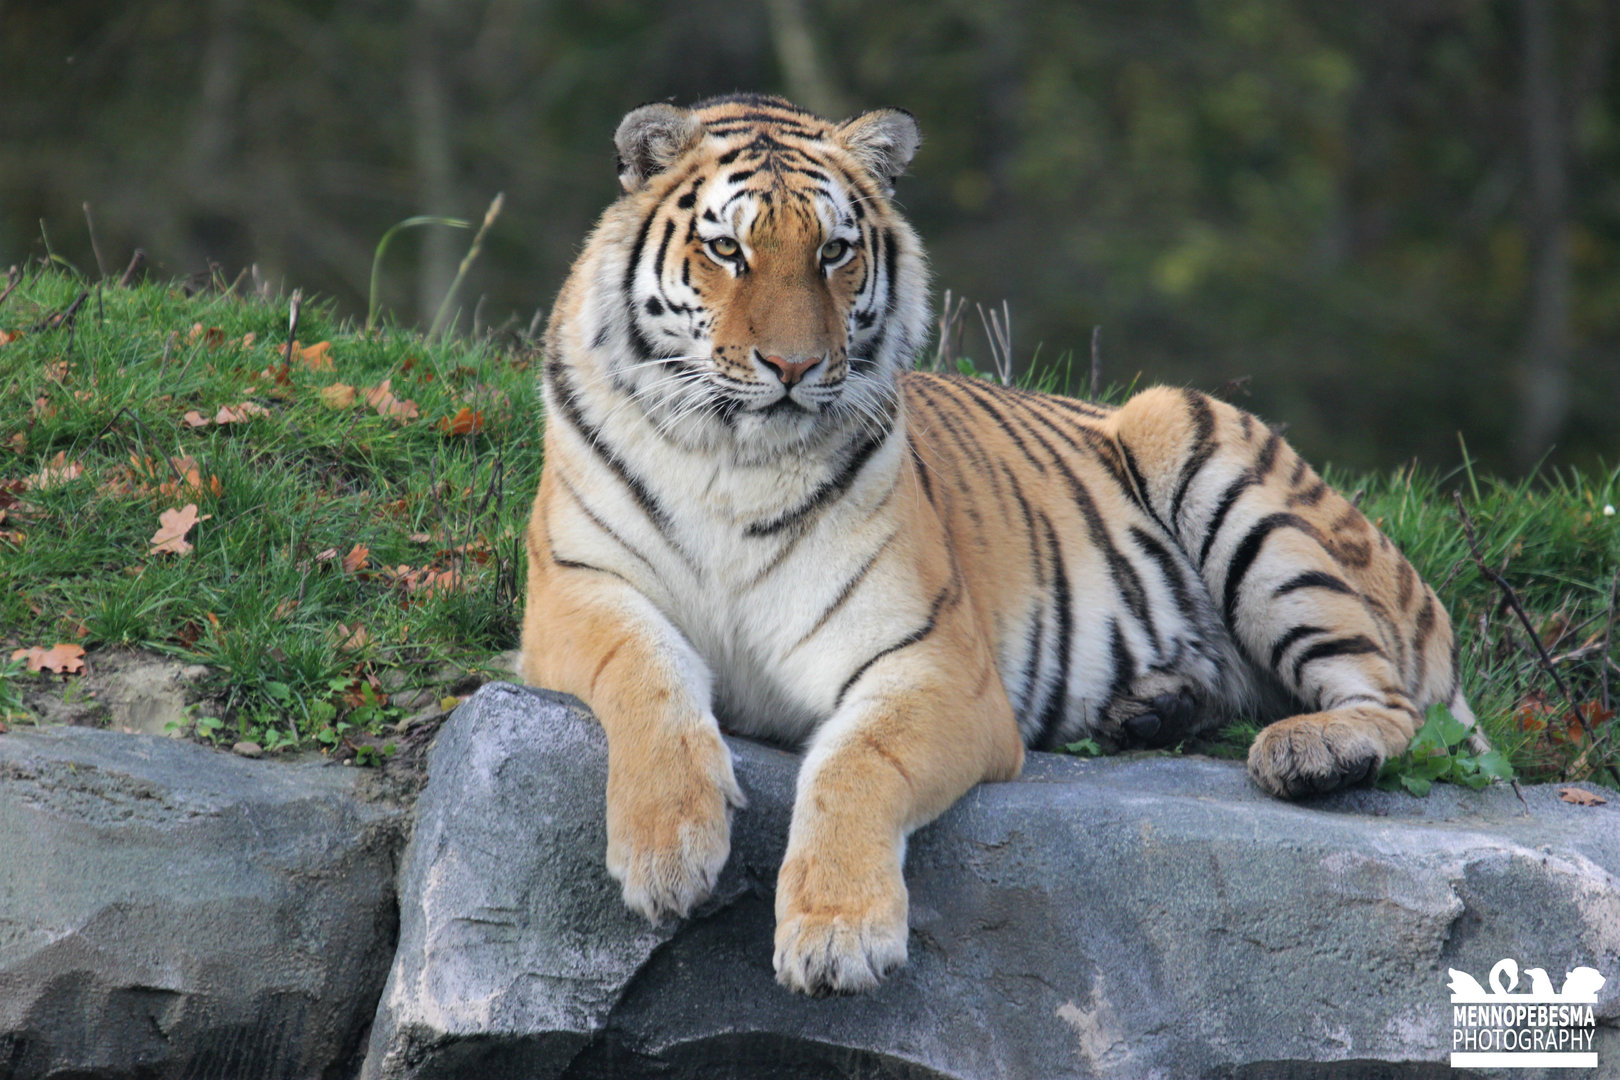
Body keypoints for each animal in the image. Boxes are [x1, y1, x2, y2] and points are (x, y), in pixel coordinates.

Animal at [519, 93, 1478, 996]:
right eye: (727, 250)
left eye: (833, 252)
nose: (792, 368)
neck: (734, 460)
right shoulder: (575, 589)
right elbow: (645, 674)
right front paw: (667, 850)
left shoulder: (936, 663)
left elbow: (856, 763)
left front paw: (839, 934)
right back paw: (1150, 709)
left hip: (1205, 451)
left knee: (1397, 705)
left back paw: (1308, 751)